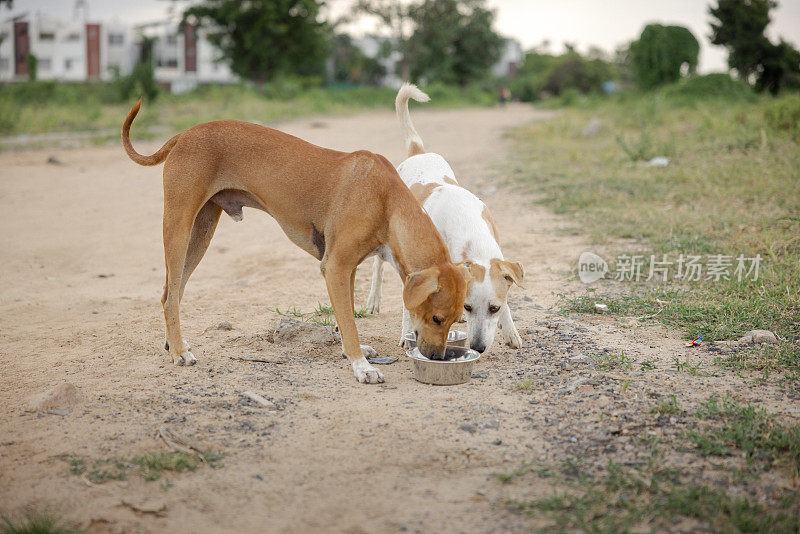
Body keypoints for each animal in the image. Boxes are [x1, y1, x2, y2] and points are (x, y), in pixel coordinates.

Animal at [120, 101, 468, 386]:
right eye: (436, 318)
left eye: (454, 320)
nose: (437, 357)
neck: (387, 200)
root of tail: (183, 135)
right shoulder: (335, 267)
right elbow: (349, 322)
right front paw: (361, 366)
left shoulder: (348, 270)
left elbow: (346, 317)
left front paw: (351, 351)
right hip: (179, 228)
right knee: (170, 296)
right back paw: (180, 352)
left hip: (201, 233)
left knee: (172, 292)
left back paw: (174, 344)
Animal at [364, 84, 524, 354]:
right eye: (468, 307)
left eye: (494, 308)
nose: (478, 347)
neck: (469, 230)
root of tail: (418, 151)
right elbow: (409, 304)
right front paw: (407, 334)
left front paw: (510, 330)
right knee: (377, 267)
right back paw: (374, 300)